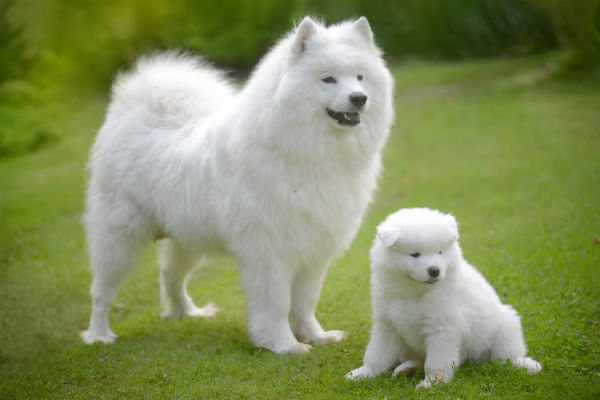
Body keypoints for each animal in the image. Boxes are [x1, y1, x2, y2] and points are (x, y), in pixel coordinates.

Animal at [82, 15, 396, 354]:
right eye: (328, 79)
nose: (359, 98)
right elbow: (277, 304)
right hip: (117, 239)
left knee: (171, 277)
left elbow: (305, 302)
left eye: (360, 77)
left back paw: (188, 313)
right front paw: (285, 345)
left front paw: (316, 336)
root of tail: (132, 114)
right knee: (101, 292)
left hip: (187, 238)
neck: (302, 151)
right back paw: (98, 334)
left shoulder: (313, 249)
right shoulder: (269, 252)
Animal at [344, 209, 540, 388]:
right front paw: (363, 373)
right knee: (417, 358)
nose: (434, 270)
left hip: (505, 324)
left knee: (507, 355)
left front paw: (431, 384)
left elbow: (435, 362)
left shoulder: (442, 328)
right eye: (415, 254)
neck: (414, 291)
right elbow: (376, 353)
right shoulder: (386, 324)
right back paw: (405, 369)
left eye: (440, 252)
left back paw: (525, 365)